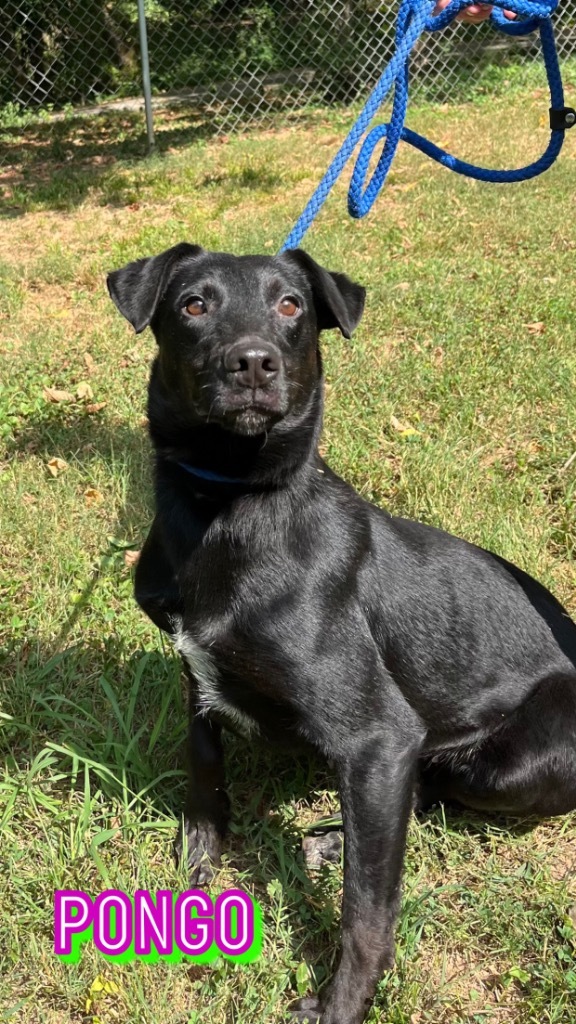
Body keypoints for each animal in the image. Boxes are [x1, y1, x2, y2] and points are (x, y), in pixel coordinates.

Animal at [106, 245, 573, 1024]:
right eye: (193, 304)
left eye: (291, 304)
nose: (253, 362)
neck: (228, 504)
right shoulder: (195, 674)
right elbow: (203, 772)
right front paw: (195, 873)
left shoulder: (380, 737)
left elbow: (368, 909)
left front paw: (340, 1005)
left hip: (508, 762)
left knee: (428, 797)